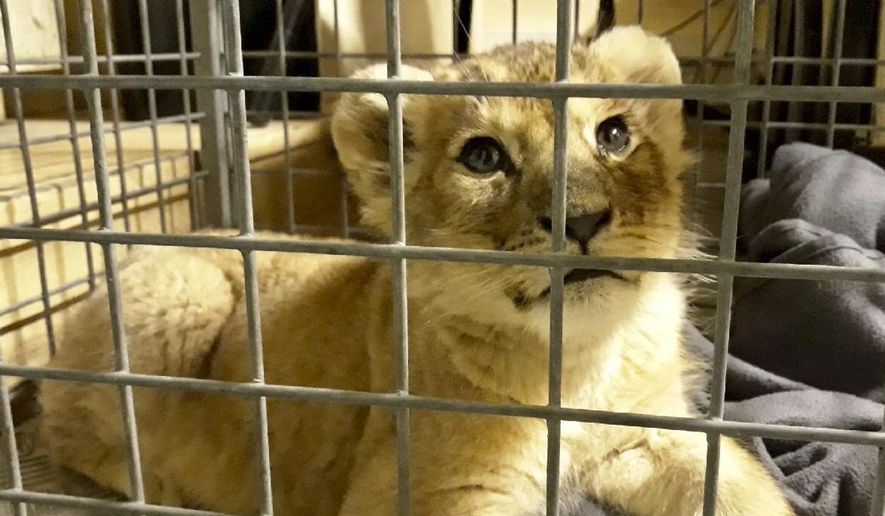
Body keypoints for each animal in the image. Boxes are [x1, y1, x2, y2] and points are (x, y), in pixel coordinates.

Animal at [37, 26, 793, 516]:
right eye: (483, 158)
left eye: (613, 135)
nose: (579, 222)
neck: (580, 361)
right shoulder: (422, 488)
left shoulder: (653, 431)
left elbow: (742, 489)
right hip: (181, 296)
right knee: (65, 426)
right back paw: (158, 486)